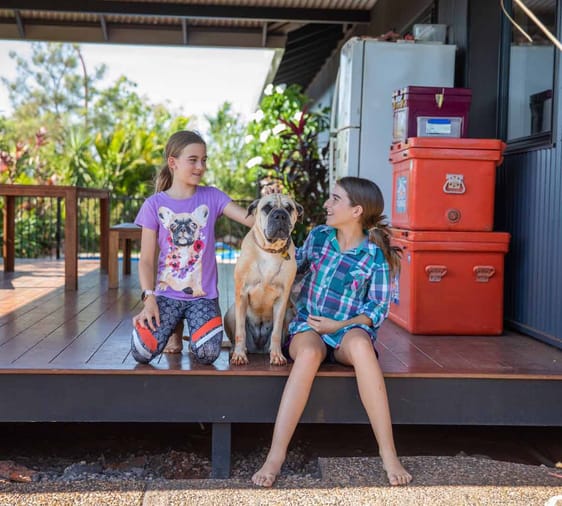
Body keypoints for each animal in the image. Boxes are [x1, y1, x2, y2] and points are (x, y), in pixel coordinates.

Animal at [225, 194, 303, 365]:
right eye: (267, 208)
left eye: (289, 208)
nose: (280, 215)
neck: (270, 251)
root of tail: (258, 348)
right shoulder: (242, 293)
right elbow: (240, 331)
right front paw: (239, 355)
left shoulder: (282, 299)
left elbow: (276, 332)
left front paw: (277, 355)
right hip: (231, 311)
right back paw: (236, 350)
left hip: (289, 313)